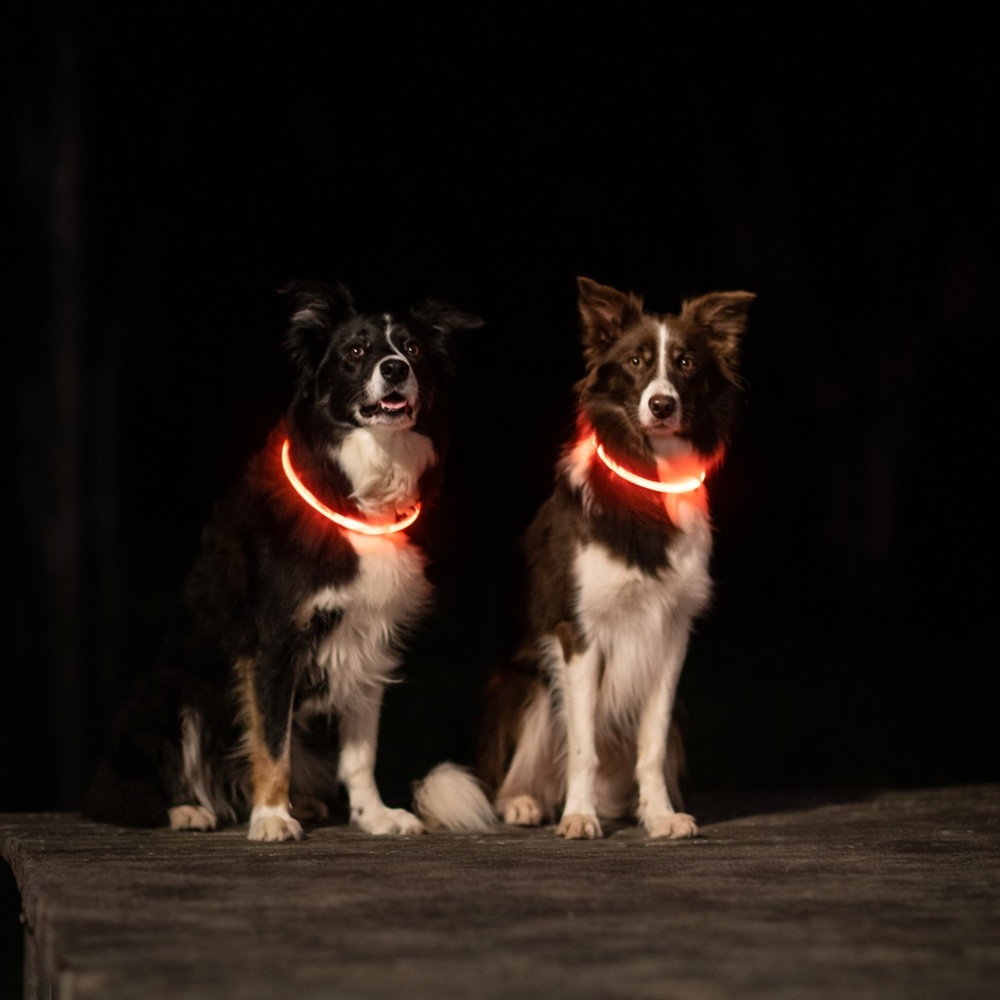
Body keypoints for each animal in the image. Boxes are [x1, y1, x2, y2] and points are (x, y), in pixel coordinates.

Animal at [83, 279, 487, 842]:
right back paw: (187, 810)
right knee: (131, 790)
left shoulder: (368, 643)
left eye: (412, 348)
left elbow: (359, 755)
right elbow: (272, 742)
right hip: (167, 697)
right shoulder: (273, 645)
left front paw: (374, 816)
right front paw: (272, 817)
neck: (352, 493)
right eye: (356, 351)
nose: (395, 369)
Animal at [468, 276, 755, 839]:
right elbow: (582, 745)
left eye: (686, 362)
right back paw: (524, 803)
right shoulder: (579, 632)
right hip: (527, 685)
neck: (649, 475)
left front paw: (660, 815)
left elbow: (651, 745)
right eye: (636, 361)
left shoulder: (670, 636)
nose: (662, 405)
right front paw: (578, 816)